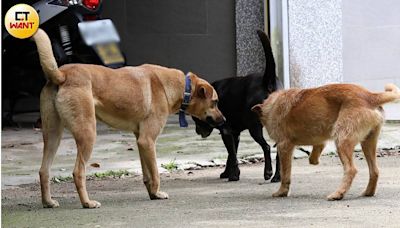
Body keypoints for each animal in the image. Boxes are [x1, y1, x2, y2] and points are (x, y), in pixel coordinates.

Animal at [31, 29, 225, 208]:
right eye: (215, 102)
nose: (223, 120)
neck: (181, 87)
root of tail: (62, 75)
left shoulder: (141, 140)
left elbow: (147, 174)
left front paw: (152, 193)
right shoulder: (148, 140)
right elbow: (155, 172)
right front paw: (158, 193)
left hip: (52, 135)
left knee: (43, 171)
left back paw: (48, 202)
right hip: (87, 134)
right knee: (78, 172)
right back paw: (87, 203)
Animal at [192, 30, 280, 182]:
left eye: (195, 118)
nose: (197, 131)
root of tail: (267, 82)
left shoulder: (226, 131)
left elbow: (232, 155)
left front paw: (233, 175)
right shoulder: (235, 134)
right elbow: (231, 154)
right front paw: (227, 173)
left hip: (254, 127)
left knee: (267, 147)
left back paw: (268, 173)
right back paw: (277, 177)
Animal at [253, 83, 400, 200]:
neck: (272, 106)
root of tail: (370, 96)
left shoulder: (284, 146)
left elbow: (285, 174)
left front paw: (282, 192)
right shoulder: (318, 140)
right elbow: (315, 151)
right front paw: (314, 159)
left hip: (342, 141)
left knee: (351, 170)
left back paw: (338, 194)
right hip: (368, 143)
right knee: (374, 171)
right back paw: (368, 192)